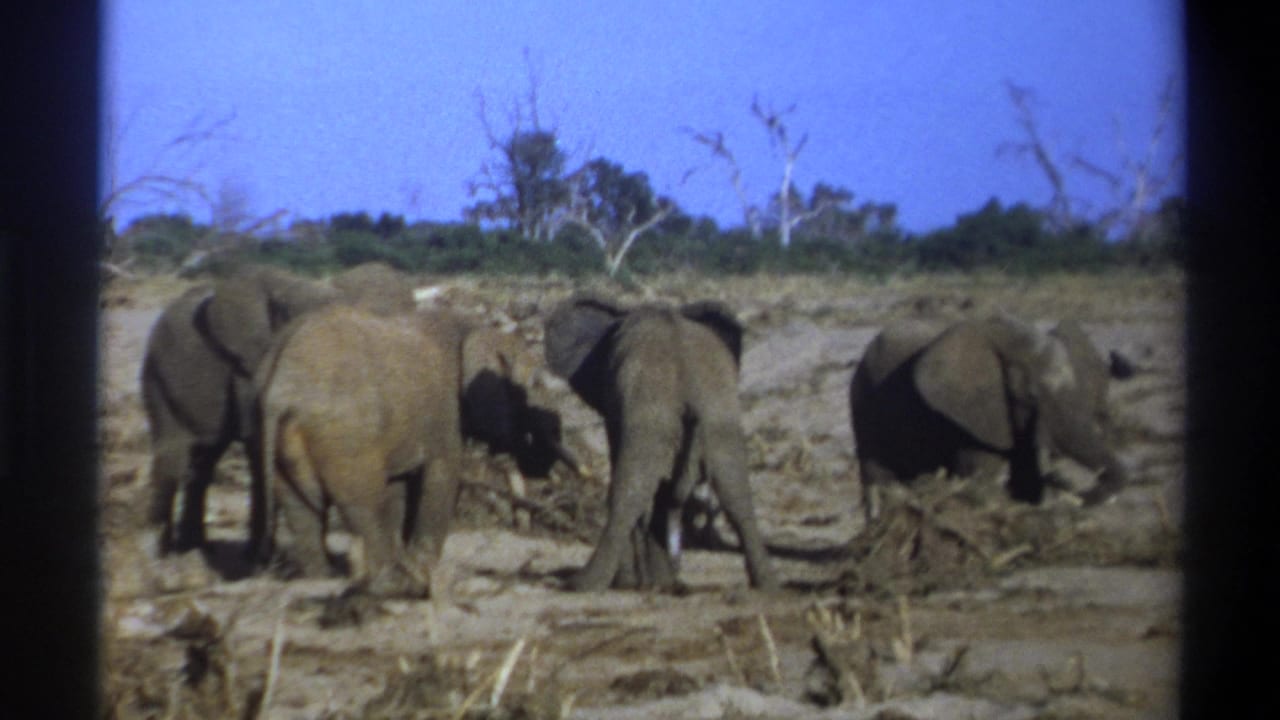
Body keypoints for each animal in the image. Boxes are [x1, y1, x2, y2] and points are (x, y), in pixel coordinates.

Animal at [140, 262, 415, 558]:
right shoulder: (247, 367)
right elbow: (258, 443)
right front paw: (259, 559)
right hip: (159, 375)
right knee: (173, 455)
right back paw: (162, 552)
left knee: (204, 461)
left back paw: (193, 547)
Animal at [543, 293, 779, 592]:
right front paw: (660, 582)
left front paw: (637, 582)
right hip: (718, 416)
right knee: (735, 492)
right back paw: (767, 585)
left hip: (654, 414)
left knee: (629, 491)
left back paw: (583, 584)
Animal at [849, 314, 1129, 522]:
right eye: (1031, 396)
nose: (1057, 475)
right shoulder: (971, 416)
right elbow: (980, 476)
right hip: (863, 402)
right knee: (877, 474)